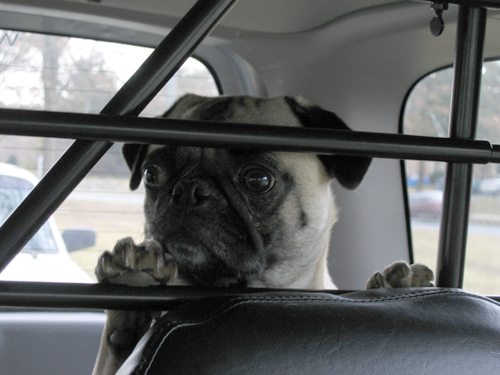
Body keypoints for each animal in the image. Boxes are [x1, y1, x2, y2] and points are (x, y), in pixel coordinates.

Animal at [93, 94, 434, 375]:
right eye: (152, 175)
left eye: (258, 179)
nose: (188, 191)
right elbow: (114, 343)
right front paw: (130, 273)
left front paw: (397, 283)